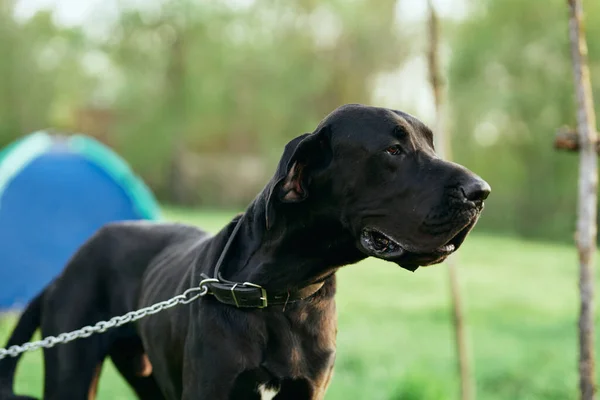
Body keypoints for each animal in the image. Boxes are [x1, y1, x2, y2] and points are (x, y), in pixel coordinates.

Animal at [0, 104, 488, 398]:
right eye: (393, 150)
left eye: (430, 144)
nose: (480, 192)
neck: (281, 296)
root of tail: (66, 267)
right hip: (73, 373)